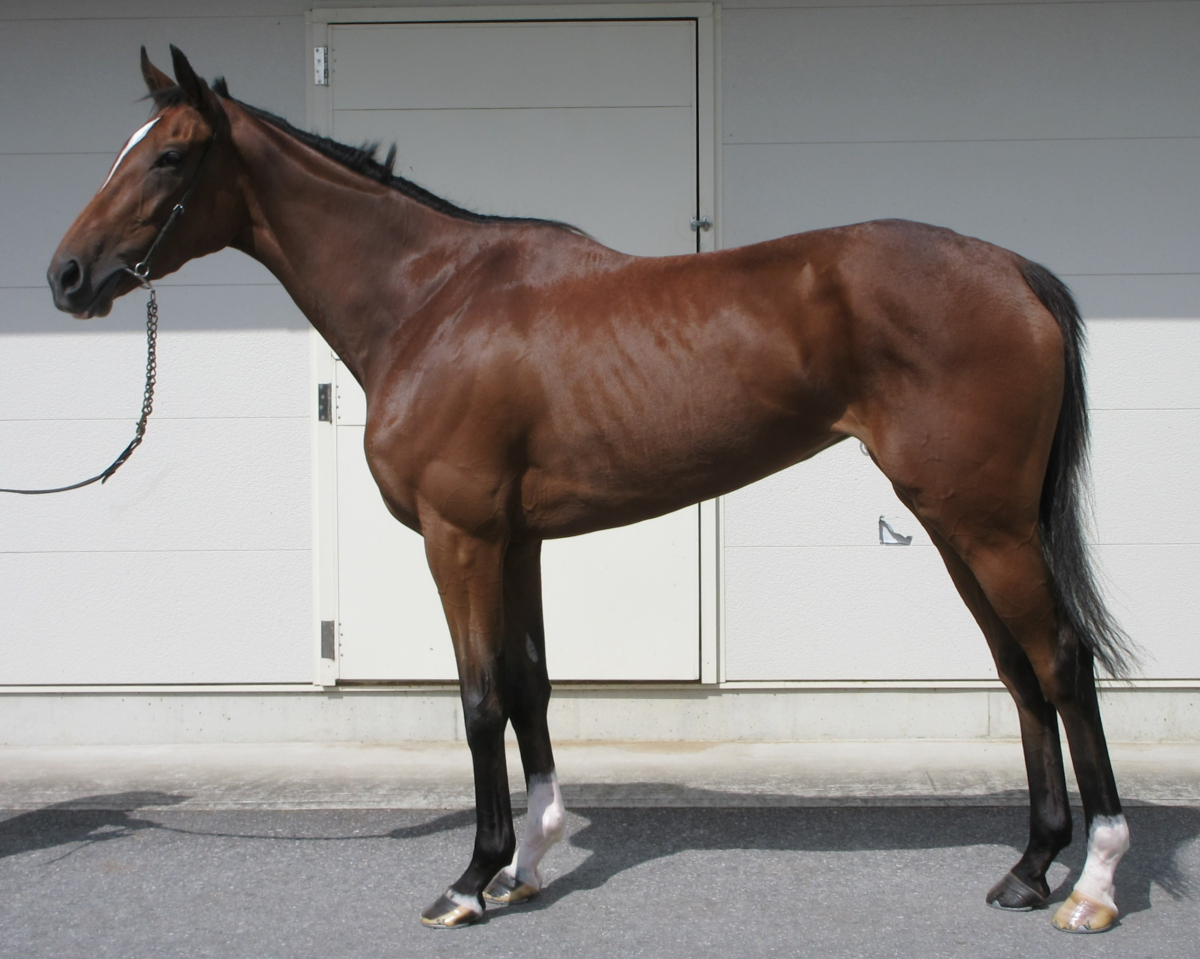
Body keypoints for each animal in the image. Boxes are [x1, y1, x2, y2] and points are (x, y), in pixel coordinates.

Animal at [48, 46, 1136, 933]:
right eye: (129, 147)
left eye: (170, 156)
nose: (66, 275)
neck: (431, 301)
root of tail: (1012, 269)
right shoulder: (515, 540)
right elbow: (531, 681)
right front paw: (526, 864)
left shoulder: (458, 536)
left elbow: (479, 696)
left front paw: (469, 879)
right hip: (956, 522)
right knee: (1018, 668)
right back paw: (1029, 867)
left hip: (987, 523)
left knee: (1063, 659)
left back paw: (1091, 883)